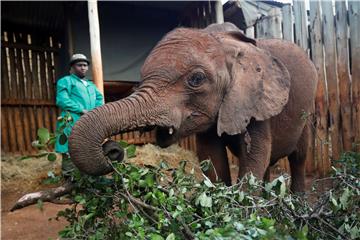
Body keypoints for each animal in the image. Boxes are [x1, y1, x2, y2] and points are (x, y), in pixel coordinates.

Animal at [69, 22, 316, 191]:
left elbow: (253, 162)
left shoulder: (255, 101)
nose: (113, 150)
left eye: (196, 79)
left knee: (299, 159)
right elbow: (213, 161)